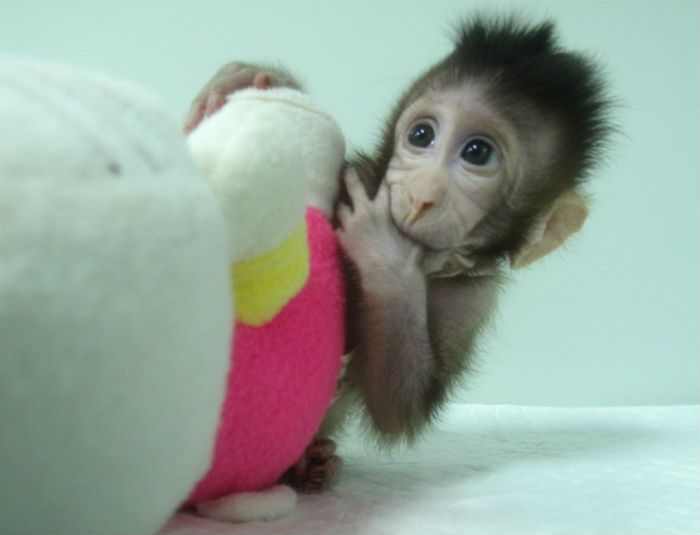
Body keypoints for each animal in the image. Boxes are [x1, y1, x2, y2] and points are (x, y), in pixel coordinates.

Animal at [185, 15, 611, 494]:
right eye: (421, 135)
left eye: (478, 153)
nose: (422, 195)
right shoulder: (360, 175)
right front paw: (251, 76)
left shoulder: (474, 297)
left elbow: (398, 408)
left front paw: (385, 254)